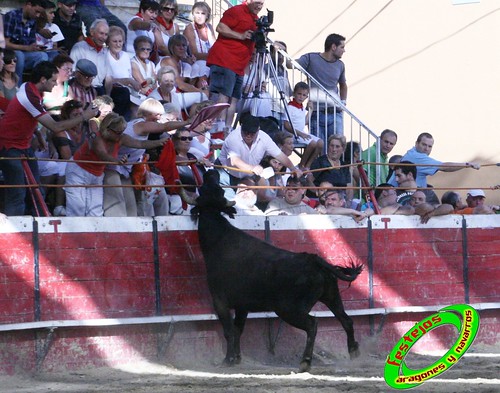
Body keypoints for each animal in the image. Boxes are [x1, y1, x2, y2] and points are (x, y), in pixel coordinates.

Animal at [181, 171, 364, 370]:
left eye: (206, 189)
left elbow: (229, 330)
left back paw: (305, 361)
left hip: (289, 309)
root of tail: (313, 259)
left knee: (312, 324)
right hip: (331, 296)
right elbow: (238, 330)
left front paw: (227, 360)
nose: (210, 173)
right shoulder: (242, 305)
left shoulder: (220, 301)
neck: (218, 238)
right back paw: (354, 351)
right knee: (346, 319)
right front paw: (236, 358)